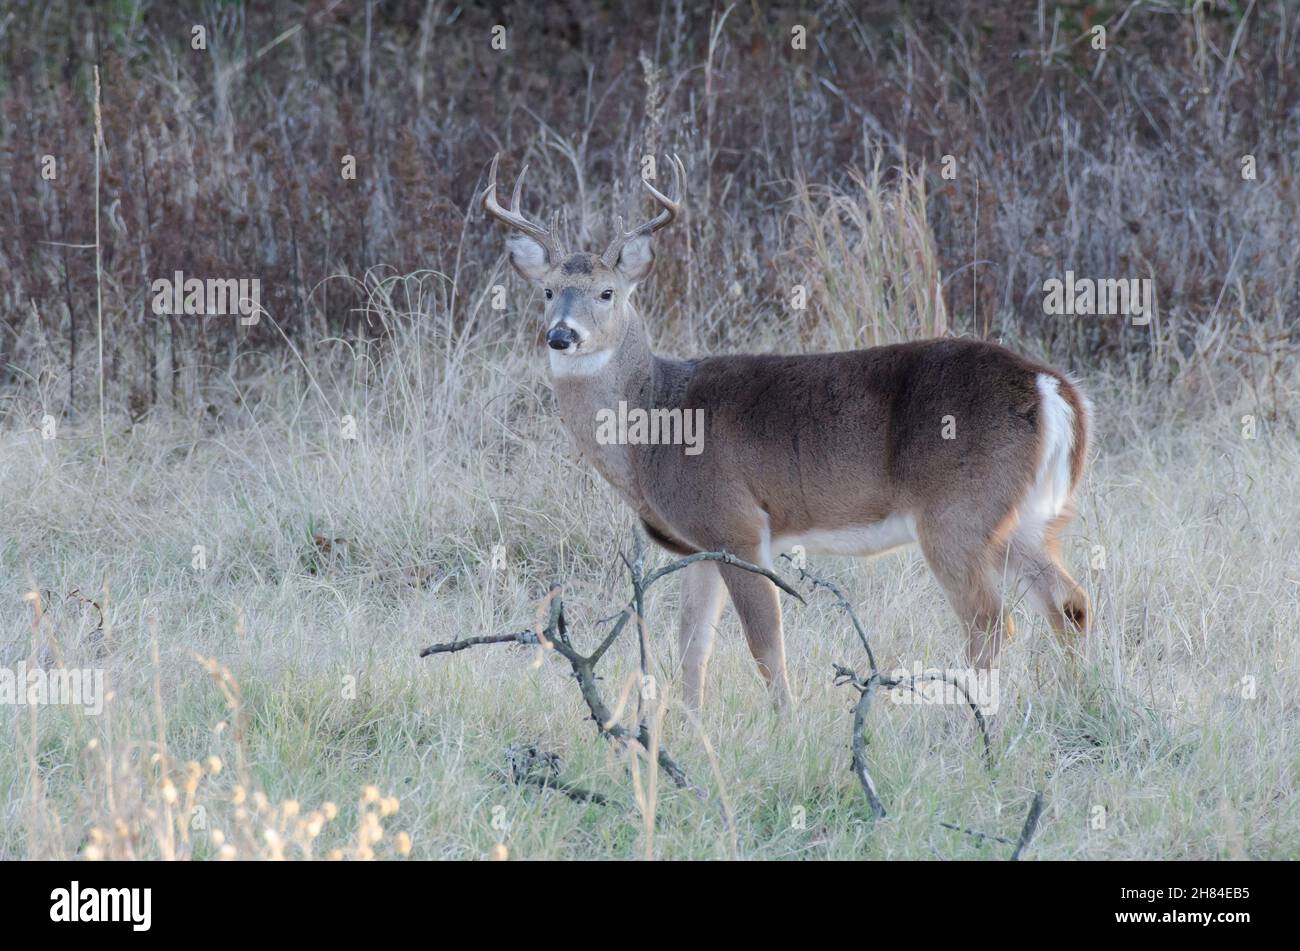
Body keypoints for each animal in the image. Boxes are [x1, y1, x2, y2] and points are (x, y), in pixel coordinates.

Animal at [482, 154, 1091, 710]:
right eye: (547, 291)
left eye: (607, 293)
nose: (561, 335)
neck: (653, 424)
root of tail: (1050, 387)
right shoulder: (699, 547)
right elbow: (691, 649)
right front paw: (685, 729)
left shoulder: (739, 524)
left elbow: (764, 646)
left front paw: (785, 723)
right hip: (1021, 517)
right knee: (1070, 601)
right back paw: (1075, 698)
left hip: (956, 513)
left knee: (992, 621)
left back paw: (974, 722)